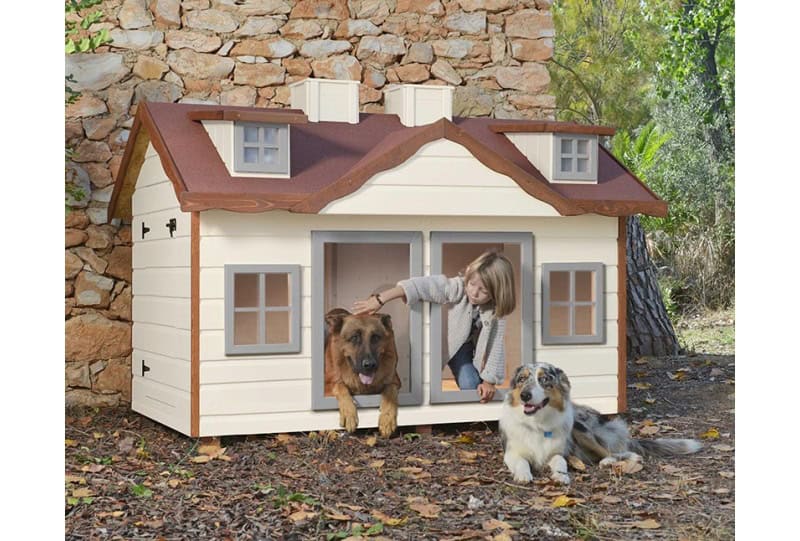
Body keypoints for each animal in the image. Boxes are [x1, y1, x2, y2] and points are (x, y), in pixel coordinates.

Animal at [324, 306, 400, 436]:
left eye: (375, 337)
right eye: (354, 337)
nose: (370, 365)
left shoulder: (396, 382)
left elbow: (390, 390)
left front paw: (387, 417)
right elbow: (340, 386)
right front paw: (349, 412)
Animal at [500, 362, 700, 480]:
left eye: (543, 379)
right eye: (522, 379)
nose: (525, 395)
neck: (537, 423)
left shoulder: (559, 452)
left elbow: (560, 462)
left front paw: (561, 476)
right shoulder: (511, 453)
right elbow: (522, 462)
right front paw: (523, 475)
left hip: (581, 430)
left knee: (615, 452)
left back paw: (614, 461)